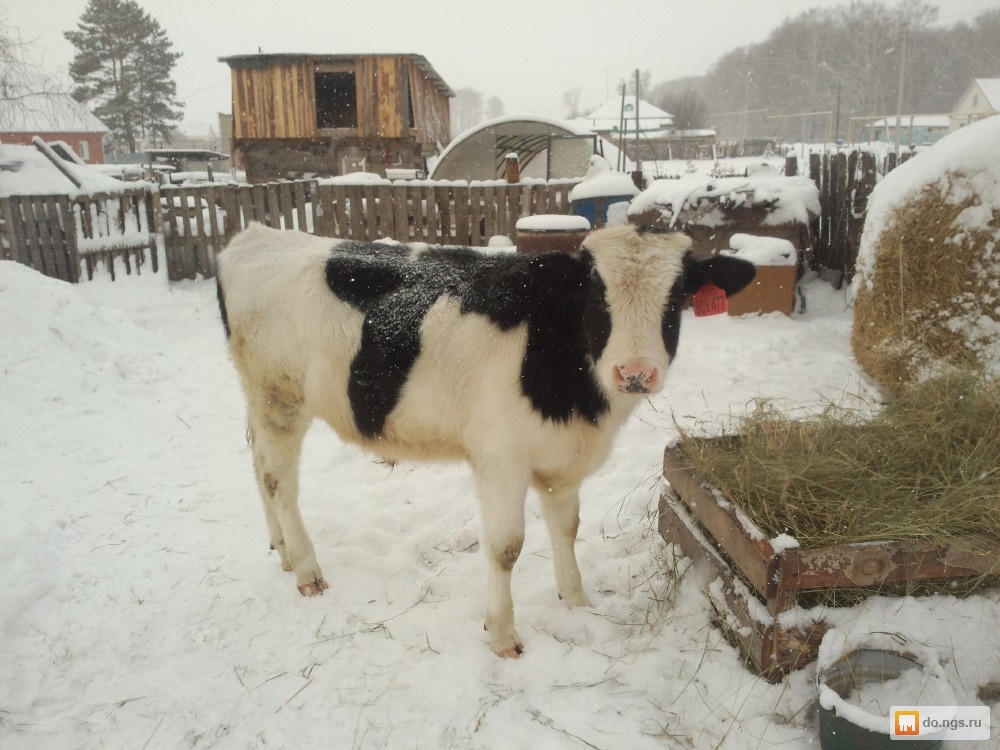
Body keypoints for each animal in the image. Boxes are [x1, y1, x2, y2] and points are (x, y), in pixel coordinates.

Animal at [217, 222, 752, 656]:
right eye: (596, 296)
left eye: (676, 297)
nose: (635, 373)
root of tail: (258, 236)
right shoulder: (501, 458)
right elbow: (506, 547)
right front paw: (502, 635)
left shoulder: (563, 458)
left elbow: (567, 528)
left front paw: (577, 600)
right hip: (278, 396)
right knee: (279, 480)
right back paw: (307, 570)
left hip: (260, 398)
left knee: (257, 464)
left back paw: (281, 549)